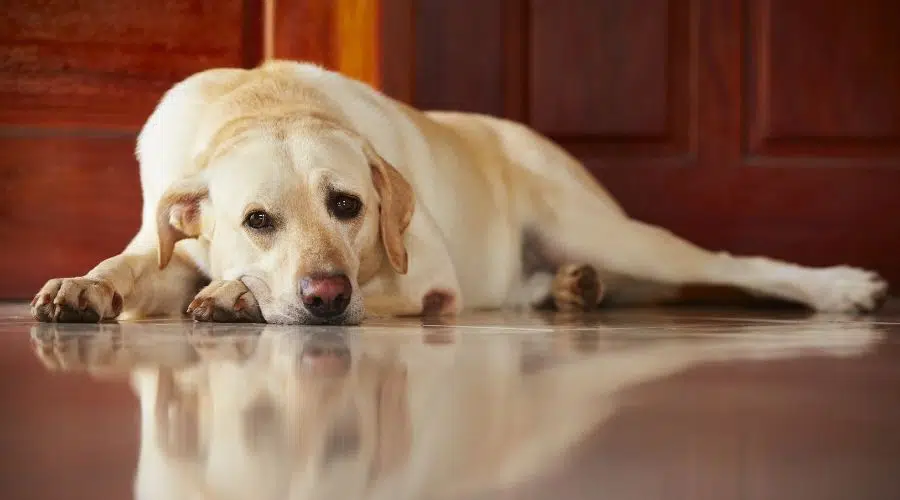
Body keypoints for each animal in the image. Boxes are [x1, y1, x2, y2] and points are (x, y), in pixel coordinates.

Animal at [31, 59, 888, 324]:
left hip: (604, 228)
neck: (264, 101)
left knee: (733, 264)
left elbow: (381, 288)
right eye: (257, 219)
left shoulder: (426, 280)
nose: (324, 296)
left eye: (349, 205)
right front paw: (84, 286)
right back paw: (572, 289)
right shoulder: (166, 244)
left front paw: (237, 297)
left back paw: (842, 288)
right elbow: (131, 265)